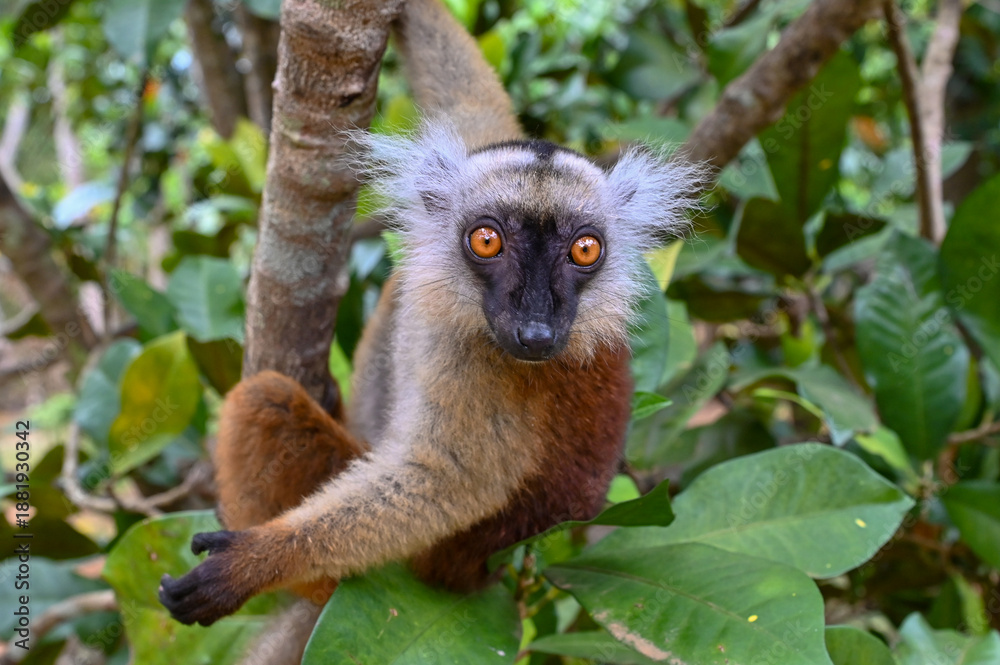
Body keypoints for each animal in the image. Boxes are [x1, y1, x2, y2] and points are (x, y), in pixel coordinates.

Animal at [158, 0, 701, 653]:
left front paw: (256, 561)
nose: (537, 332)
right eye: (487, 240)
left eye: (584, 250)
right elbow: (475, 107)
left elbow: (446, 481)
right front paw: (409, 13)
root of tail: (485, 577)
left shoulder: (491, 367)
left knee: (264, 399)